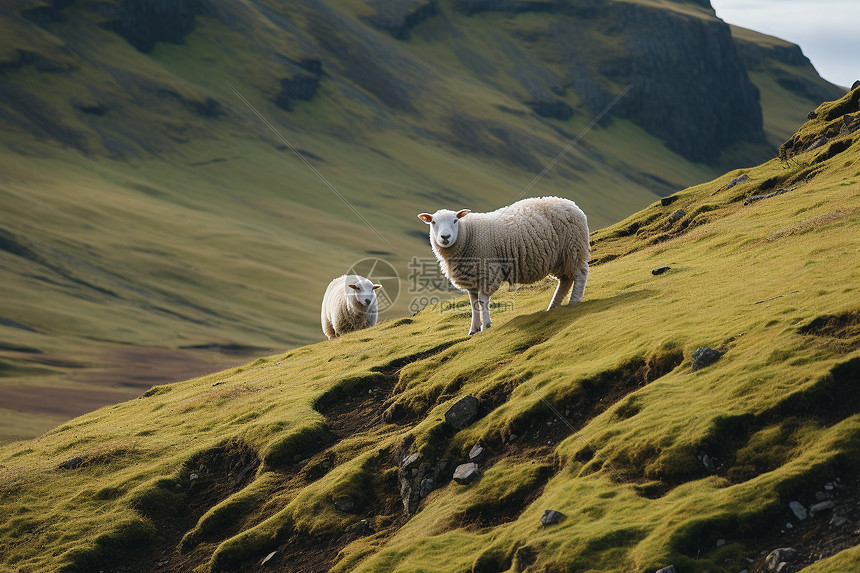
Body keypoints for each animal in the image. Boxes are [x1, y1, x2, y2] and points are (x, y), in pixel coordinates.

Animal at [418, 196, 592, 336]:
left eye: (455, 220)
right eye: (433, 222)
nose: (445, 237)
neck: (468, 234)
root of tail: (571, 204)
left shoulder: (487, 272)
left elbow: (482, 301)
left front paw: (486, 325)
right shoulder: (471, 278)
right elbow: (473, 304)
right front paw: (473, 329)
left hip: (573, 247)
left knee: (581, 273)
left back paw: (574, 300)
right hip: (560, 258)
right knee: (565, 280)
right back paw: (553, 306)